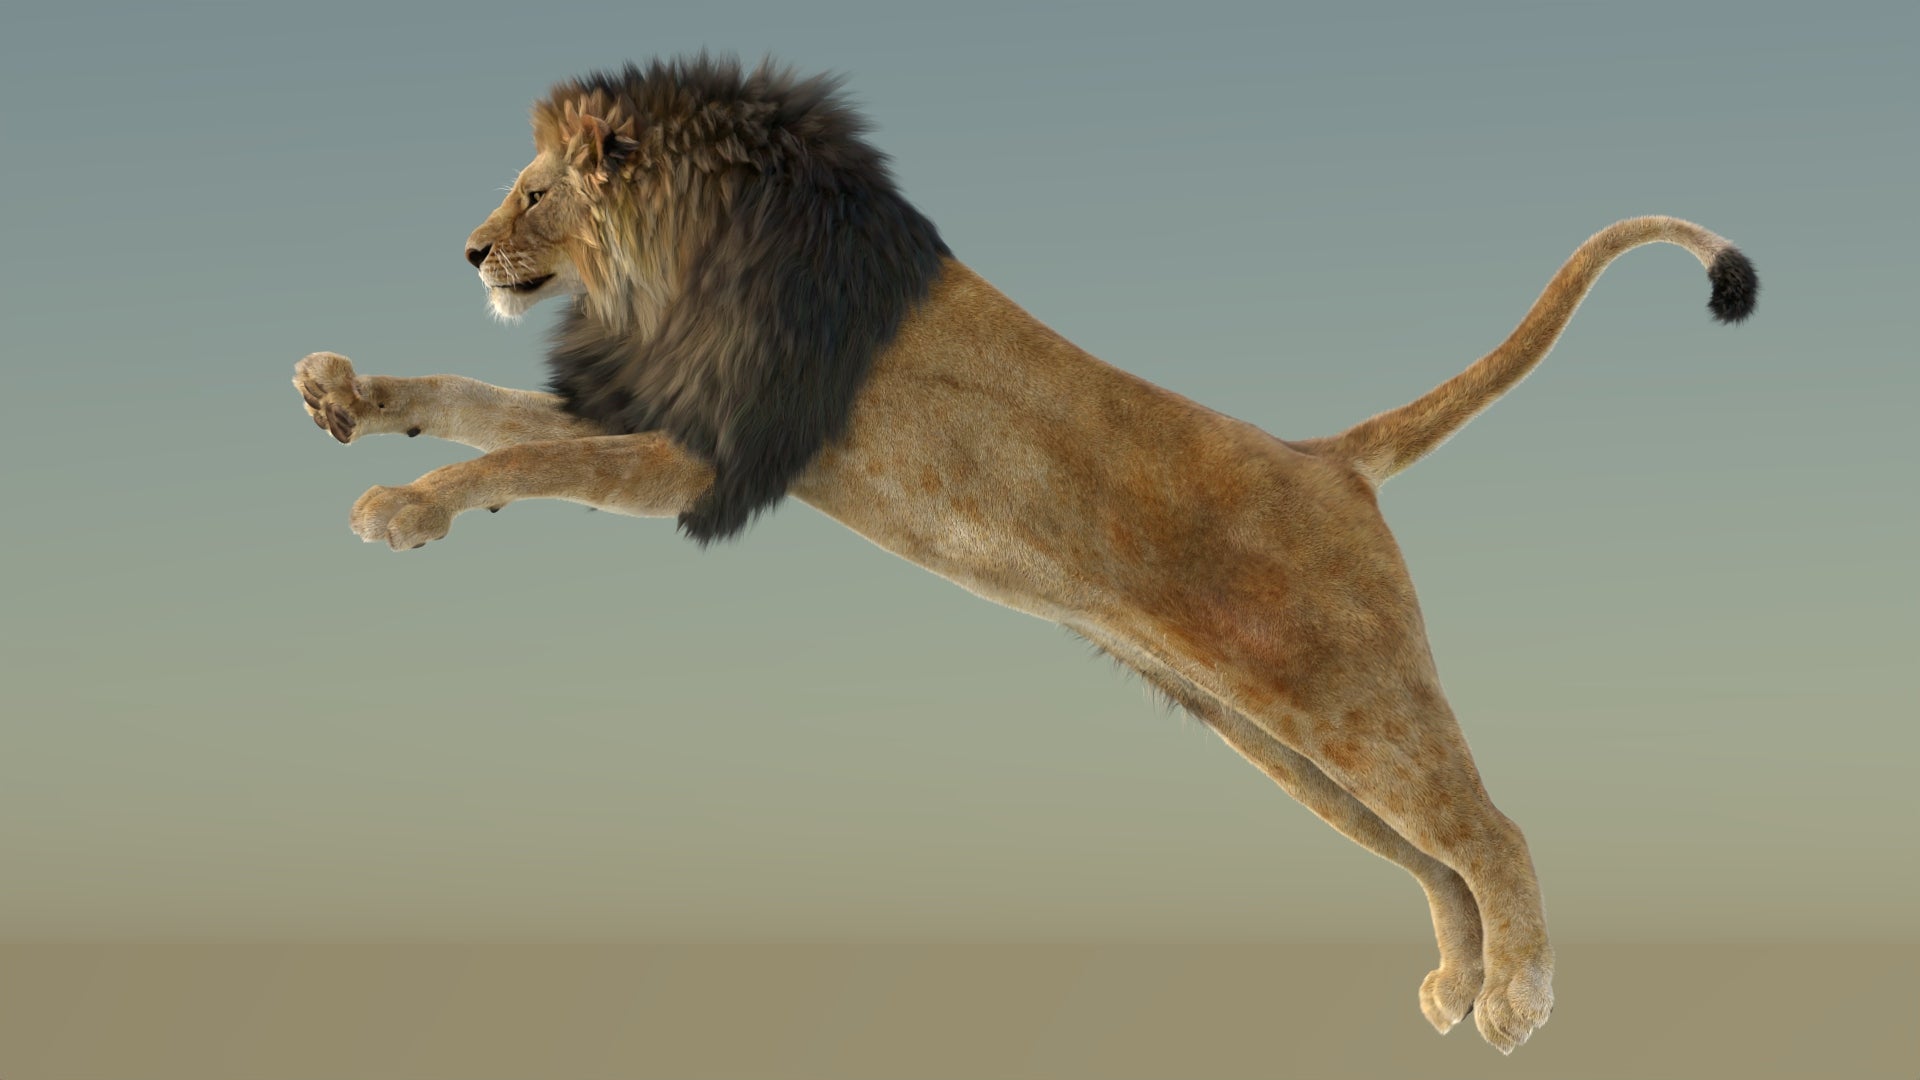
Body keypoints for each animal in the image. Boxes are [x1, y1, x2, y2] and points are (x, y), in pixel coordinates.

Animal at [293, 54, 1757, 1054]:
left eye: (535, 190)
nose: (472, 249)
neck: (677, 258)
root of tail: (1328, 456)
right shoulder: (679, 422)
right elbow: (485, 408)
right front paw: (348, 397)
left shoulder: (711, 458)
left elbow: (519, 460)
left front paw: (404, 507)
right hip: (1281, 739)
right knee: (1433, 855)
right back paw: (1461, 982)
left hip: (1346, 697)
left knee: (1491, 830)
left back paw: (1517, 1000)